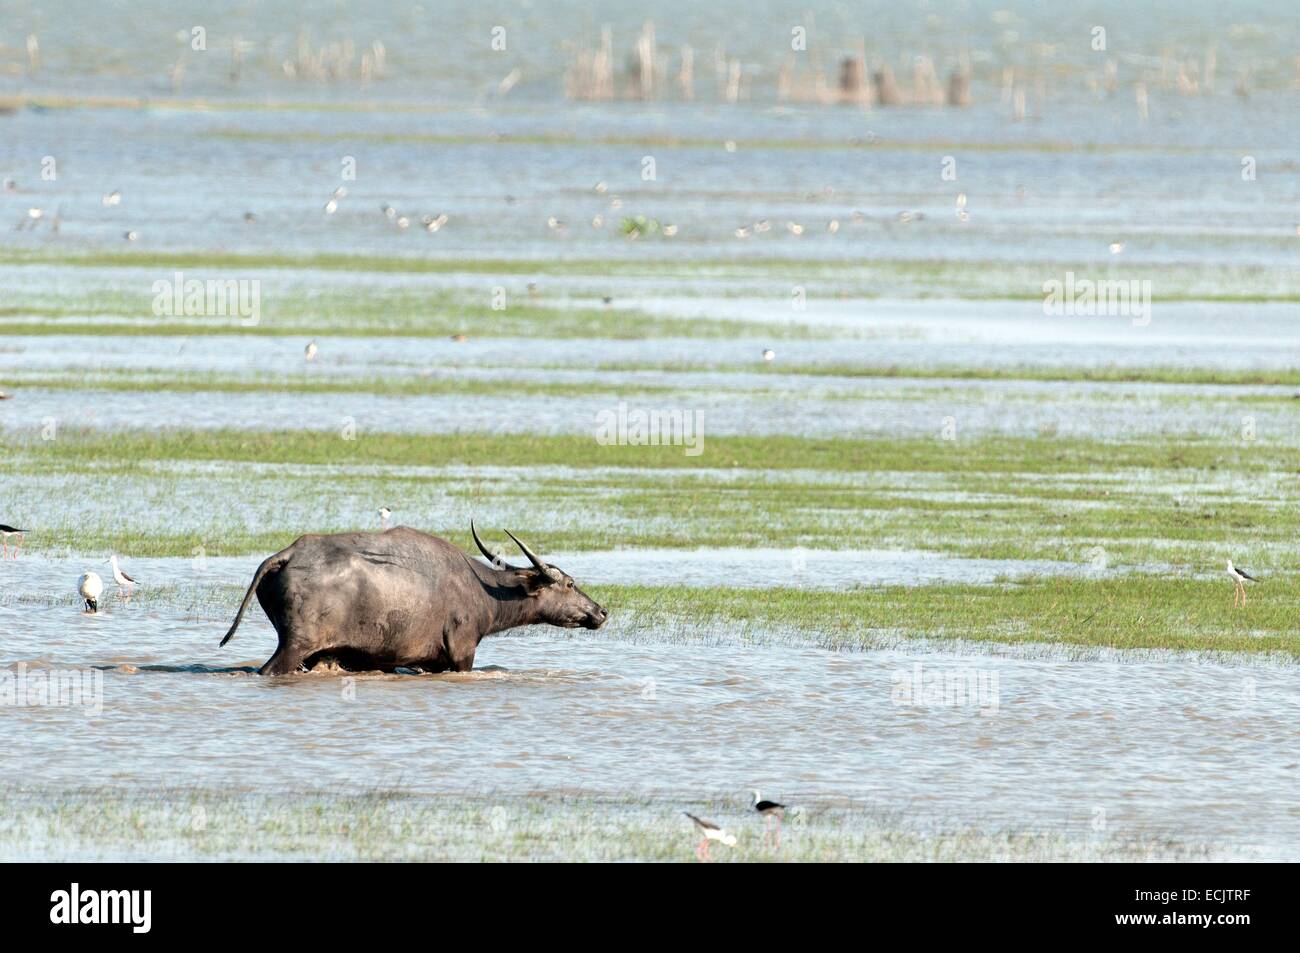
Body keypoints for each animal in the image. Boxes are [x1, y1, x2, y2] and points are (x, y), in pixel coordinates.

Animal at [220, 522, 607, 675]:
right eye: (570, 583)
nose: (601, 611)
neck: (485, 593)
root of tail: (287, 554)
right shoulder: (462, 653)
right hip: (295, 645)